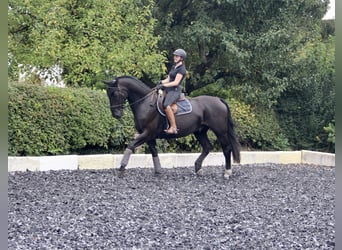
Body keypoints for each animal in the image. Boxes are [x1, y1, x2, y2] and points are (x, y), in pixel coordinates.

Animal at [104, 75, 240, 178]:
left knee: (226, 148)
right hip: (200, 131)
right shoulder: (149, 136)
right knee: (207, 147)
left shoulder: (147, 133)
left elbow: (131, 145)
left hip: (220, 131)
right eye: (108, 94)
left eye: (115, 93)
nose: (116, 114)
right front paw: (158, 171)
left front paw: (122, 168)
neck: (145, 103)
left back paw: (227, 172)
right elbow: (154, 151)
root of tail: (218, 99)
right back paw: (198, 169)